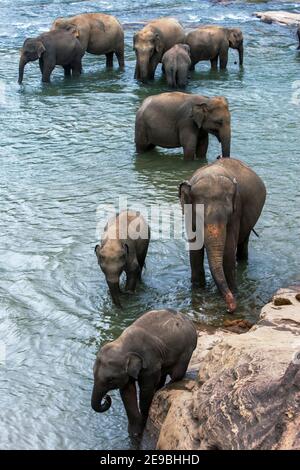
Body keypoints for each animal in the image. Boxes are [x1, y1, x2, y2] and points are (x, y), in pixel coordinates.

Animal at [90, 308, 197, 436]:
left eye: (110, 379)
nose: (106, 398)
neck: (122, 344)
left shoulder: (150, 364)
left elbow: (146, 391)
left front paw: (143, 421)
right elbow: (127, 393)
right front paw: (134, 431)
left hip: (187, 351)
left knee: (176, 374)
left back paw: (165, 387)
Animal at [178, 157, 264, 312]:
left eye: (229, 214)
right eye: (198, 216)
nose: (230, 308)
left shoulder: (237, 212)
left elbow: (228, 249)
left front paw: (234, 291)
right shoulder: (188, 214)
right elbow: (195, 249)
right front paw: (197, 290)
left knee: (243, 242)